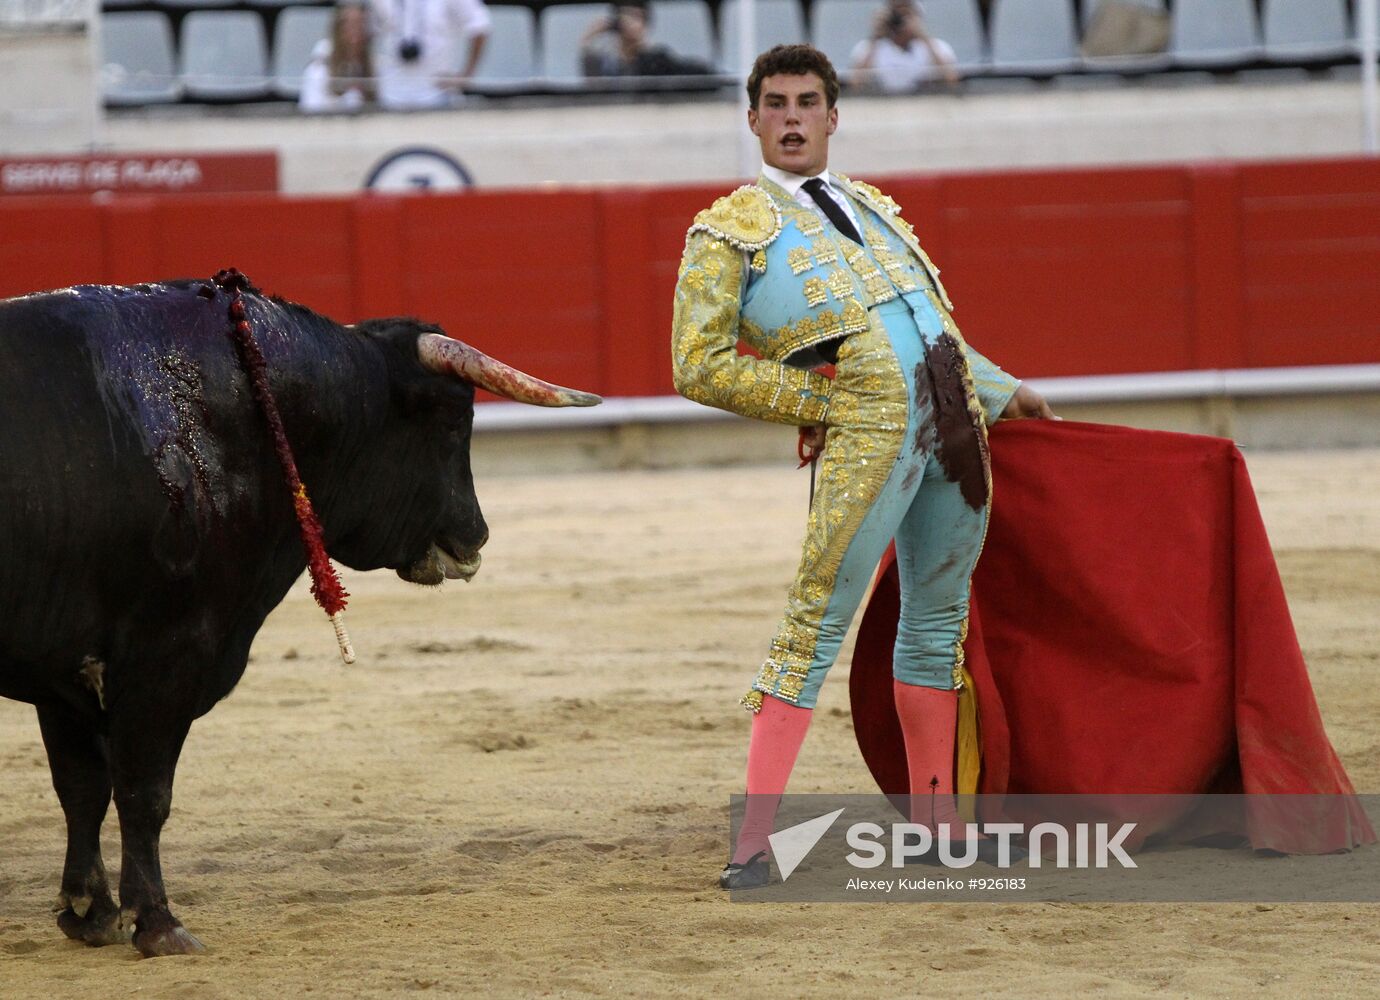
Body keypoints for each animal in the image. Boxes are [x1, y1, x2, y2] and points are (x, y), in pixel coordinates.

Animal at [0, 278, 598, 954]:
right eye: (454, 422)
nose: (476, 536)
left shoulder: (67, 668)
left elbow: (81, 788)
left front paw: (88, 912)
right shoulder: (168, 656)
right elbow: (144, 792)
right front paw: (158, 923)